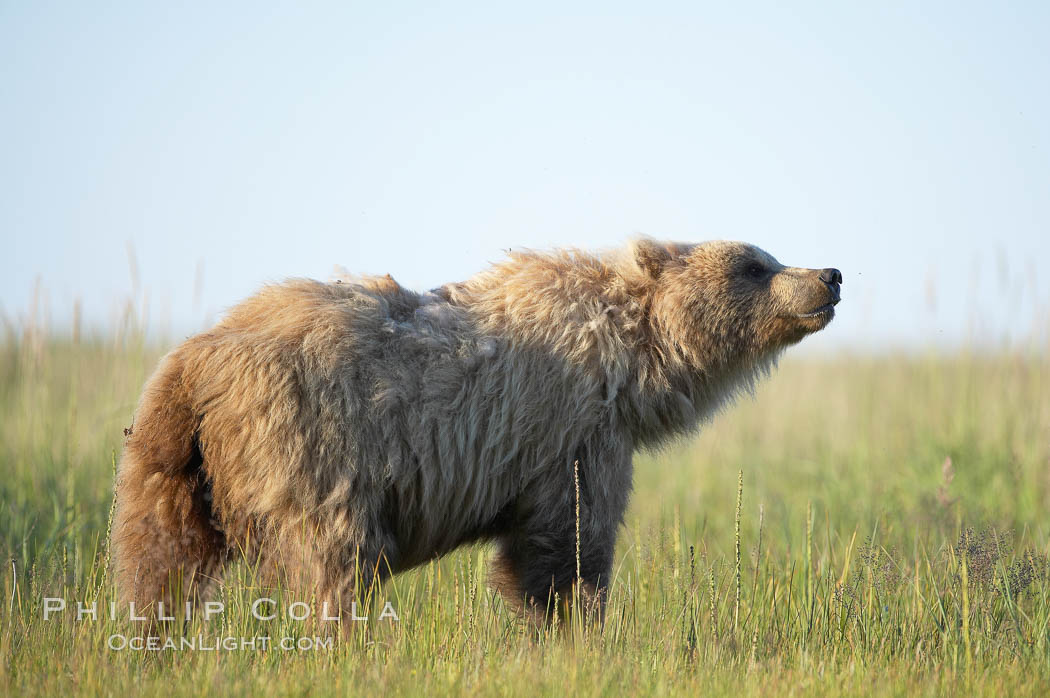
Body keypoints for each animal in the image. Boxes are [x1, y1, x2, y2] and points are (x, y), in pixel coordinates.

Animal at [110, 238, 839, 621]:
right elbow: (568, 545)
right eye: (755, 263)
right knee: (333, 557)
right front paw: (575, 624)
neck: (630, 363)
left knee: (159, 560)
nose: (829, 273)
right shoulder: (570, 429)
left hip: (166, 455)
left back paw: (154, 640)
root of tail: (198, 361)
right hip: (307, 440)